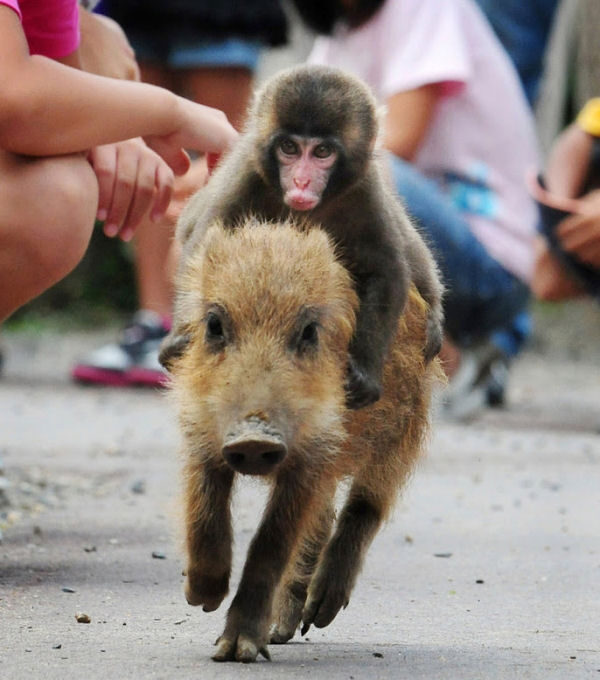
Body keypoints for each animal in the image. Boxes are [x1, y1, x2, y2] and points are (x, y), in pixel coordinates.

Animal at [161, 64, 444, 409]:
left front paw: (365, 369)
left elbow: (386, 272)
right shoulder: (246, 174)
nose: (301, 181)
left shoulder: (365, 189)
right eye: (289, 148)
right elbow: (204, 251)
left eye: (322, 151)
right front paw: (183, 335)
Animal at [167, 218, 442, 663]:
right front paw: (201, 599)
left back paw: (317, 615)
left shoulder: (318, 450)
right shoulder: (199, 428)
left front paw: (237, 652)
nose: (254, 438)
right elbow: (204, 511)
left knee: (365, 507)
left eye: (309, 331)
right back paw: (284, 631)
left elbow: (272, 542)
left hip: (405, 428)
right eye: (214, 325)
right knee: (325, 516)